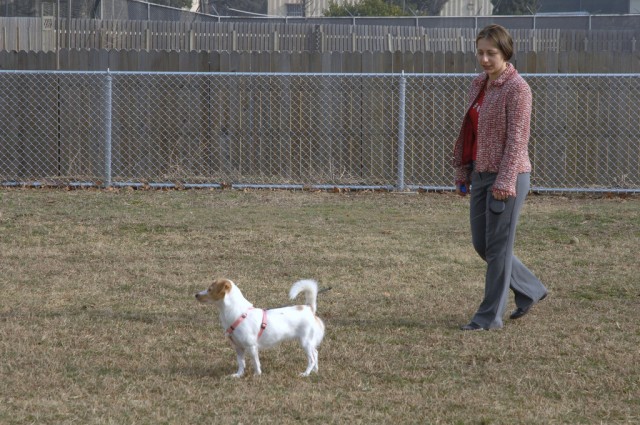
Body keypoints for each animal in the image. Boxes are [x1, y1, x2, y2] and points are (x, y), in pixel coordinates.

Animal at [195, 278, 324, 378]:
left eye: (210, 289)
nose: (196, 295)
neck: (236, 313)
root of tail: (309, 308)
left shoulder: (251, 347)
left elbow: (255, 363)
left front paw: (257, 375)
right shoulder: (238, 347)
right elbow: (241, 362)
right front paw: (238, 375)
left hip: (305, 342)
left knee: (312, 359)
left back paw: (306, 373)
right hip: (309, 343)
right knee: (316, 353)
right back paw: (315, 371)